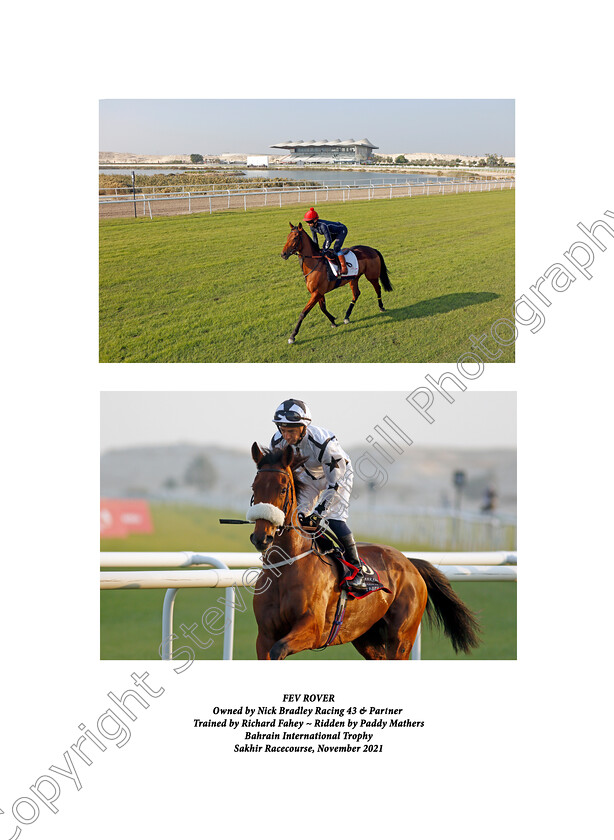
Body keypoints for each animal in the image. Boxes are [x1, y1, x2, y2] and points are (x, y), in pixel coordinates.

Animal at [247, 442, 482, 660]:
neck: (286, 567)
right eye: (254, 488)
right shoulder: (264, 636)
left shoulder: (312, 628)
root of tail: (409, 562)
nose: (262, 537)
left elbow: (279, 649)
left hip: (401, 638)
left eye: (283, 488)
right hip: (365, 635)